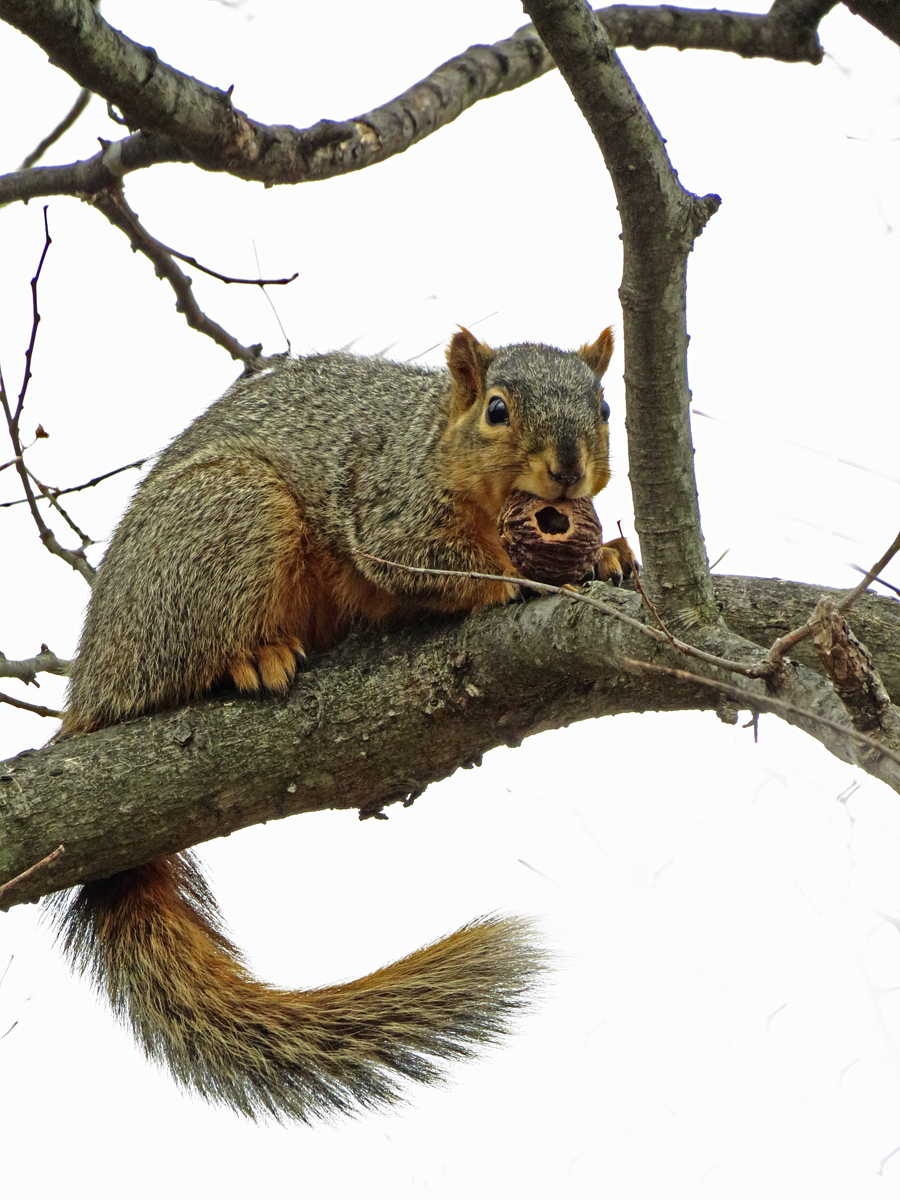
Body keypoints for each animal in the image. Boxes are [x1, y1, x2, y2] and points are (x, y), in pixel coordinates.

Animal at [55, 327, 632, 1123]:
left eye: (605, 408)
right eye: (497, 410)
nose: (569, 472)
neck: (436, 439)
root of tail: (91, 684)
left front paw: (606, 553)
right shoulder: (388, 503)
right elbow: (422, 559)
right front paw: (515, 574)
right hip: (226, 523)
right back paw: (253, 658)